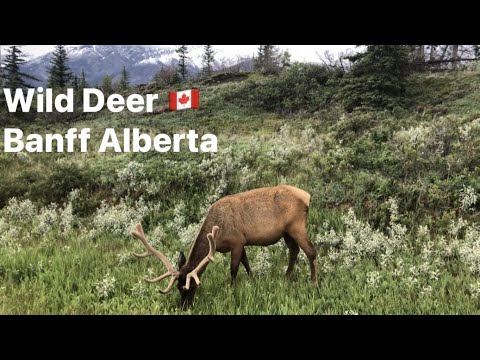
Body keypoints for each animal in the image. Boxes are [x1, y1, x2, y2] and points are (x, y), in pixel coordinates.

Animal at [131, 186, 316, 306]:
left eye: (191, 287)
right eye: (177, 287)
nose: (183, 306)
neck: (218, 234)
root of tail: (307, 196)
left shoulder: (237, 241)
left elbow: (233, 269)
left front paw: (232, 290)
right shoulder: (241, 242)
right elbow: (246, 263)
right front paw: (253, 280)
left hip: (297, 226)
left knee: (311, 251)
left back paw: (313, 281)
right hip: (287, 232)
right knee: (294, 250)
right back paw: (287, 277)